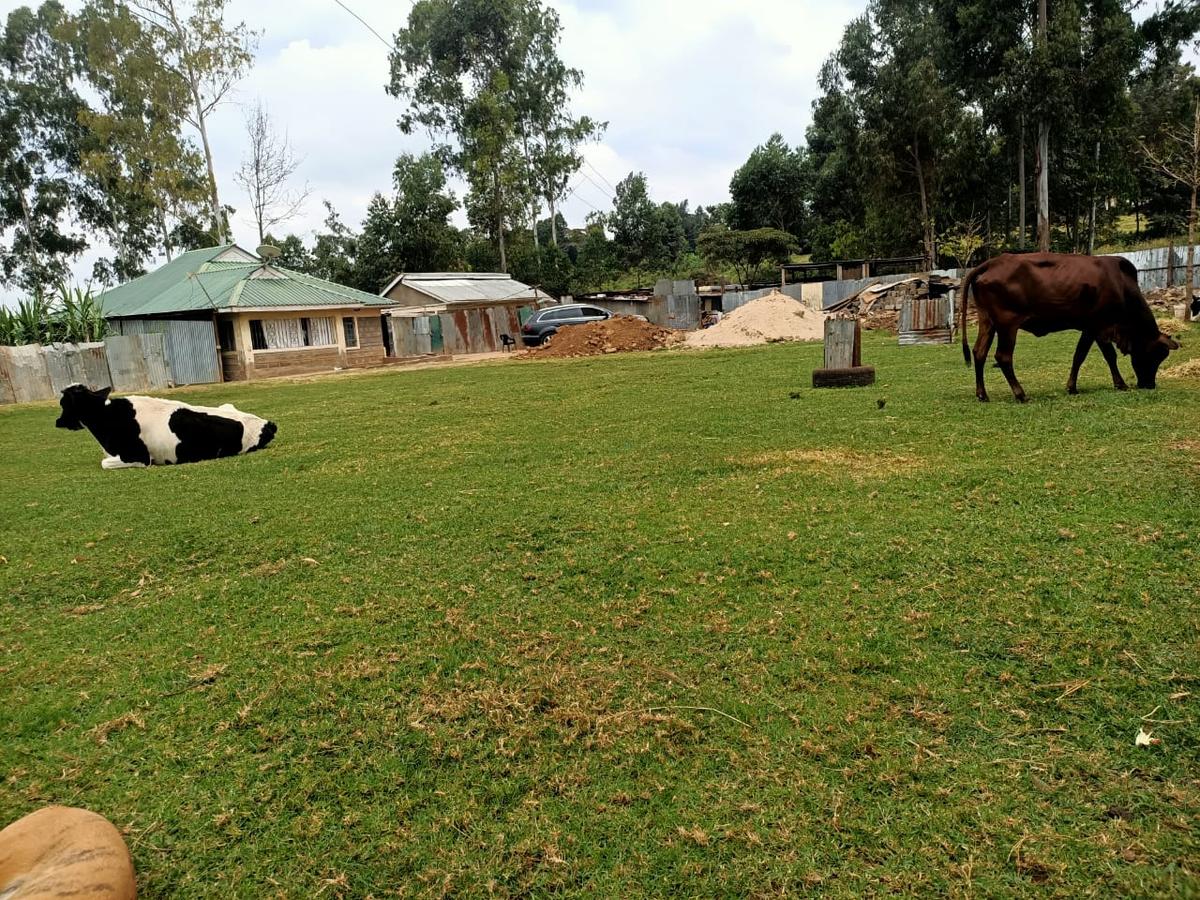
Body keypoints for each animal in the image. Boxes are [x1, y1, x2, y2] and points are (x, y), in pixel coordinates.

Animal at [955, 250, 1180, 400]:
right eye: (1156, 355)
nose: (1149, 385)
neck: (1122, 287)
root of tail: (992, 263)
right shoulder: (1097, 326)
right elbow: (1101, 356)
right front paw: (1119, 384)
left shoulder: (1091, 328)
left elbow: (1084, 356)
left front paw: (1074, 387)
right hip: (1007, 325)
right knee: (1003, 357)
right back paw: (1020, 394)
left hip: (987, 321)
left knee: (979, 353)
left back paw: (982, 394)